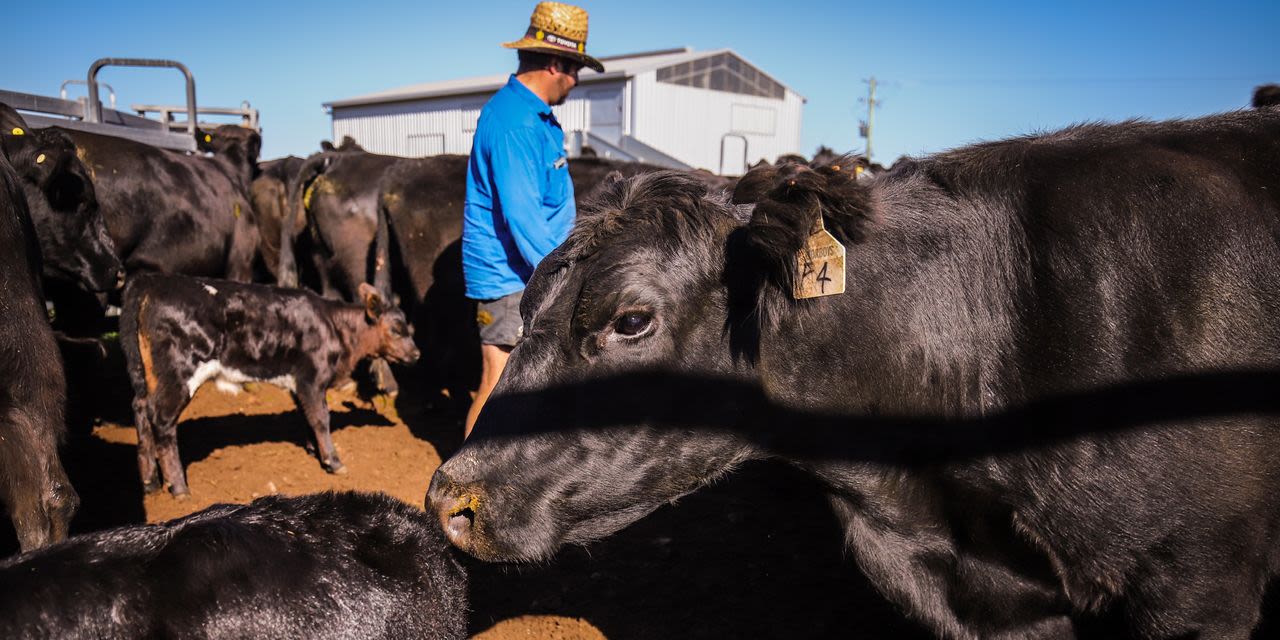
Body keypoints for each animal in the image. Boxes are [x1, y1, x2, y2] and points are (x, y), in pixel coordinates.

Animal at [122, 272, 417, 496]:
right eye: (395, 330)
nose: (416, 354)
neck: (334, 327)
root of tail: (150, 282)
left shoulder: (299, 385)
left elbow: (307, 416)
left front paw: (313, 450)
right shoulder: (311, 378)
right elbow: (321, 418)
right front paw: (333, 461)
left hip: (145, 375)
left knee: (140, 410)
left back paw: (150, 483)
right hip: (179, 374)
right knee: (161, 420)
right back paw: (179, 487)